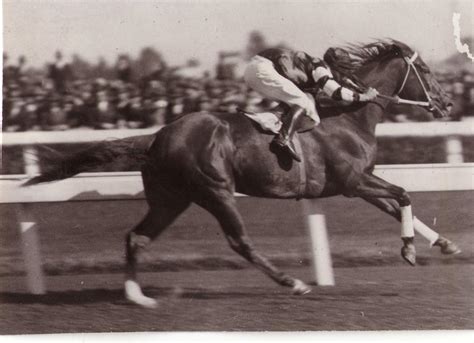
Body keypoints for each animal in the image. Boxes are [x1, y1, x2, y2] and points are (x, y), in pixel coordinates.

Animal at [25, 40, 460, 310]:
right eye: (423, 70)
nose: (447, 103)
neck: (348, 117)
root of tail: (158, 135)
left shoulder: (358, 184)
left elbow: (399, 204)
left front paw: (445, 244)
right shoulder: (352, 182)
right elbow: (403, 194)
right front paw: (408, 251)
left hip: (172, 198)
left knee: (137, 237)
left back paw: (138, 297)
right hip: (216, 190)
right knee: (240, 241)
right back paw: (294, 283)